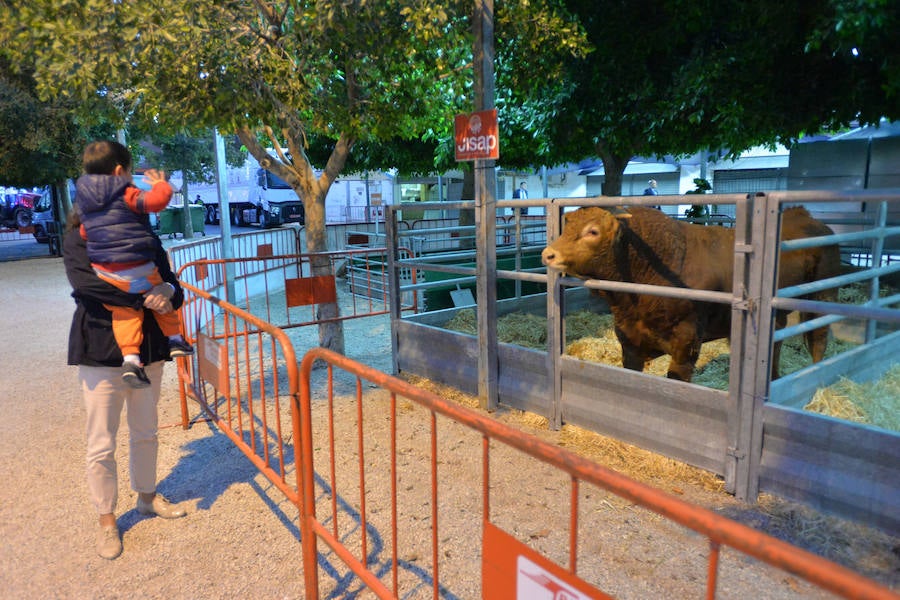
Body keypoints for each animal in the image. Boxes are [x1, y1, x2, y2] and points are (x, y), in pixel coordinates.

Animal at [540, 206, 844, 382]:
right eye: (566, 227)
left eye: (592, 231)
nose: (548, 254)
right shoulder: (629, 337)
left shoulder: (686, 341)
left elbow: (678, 376)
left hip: (824, 294)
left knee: (818, 339)